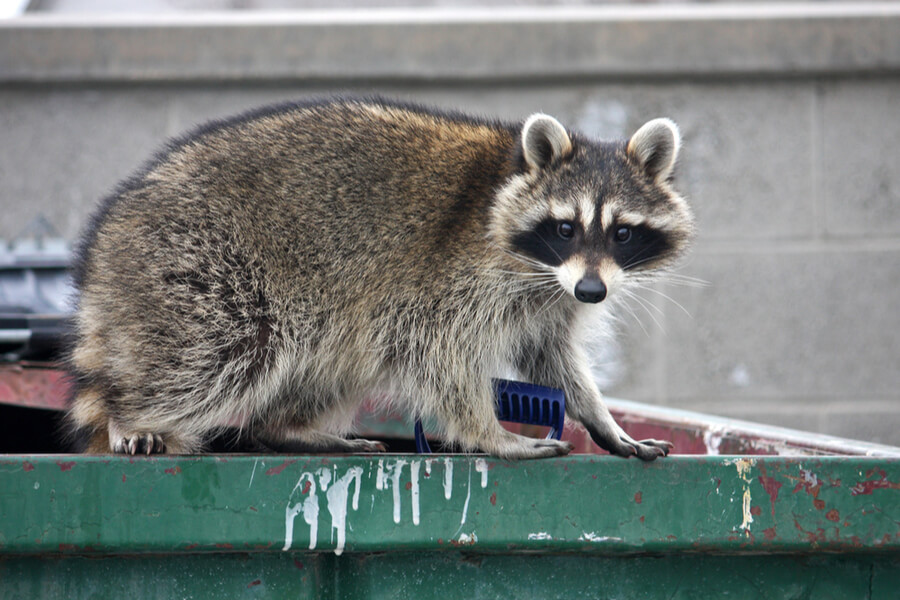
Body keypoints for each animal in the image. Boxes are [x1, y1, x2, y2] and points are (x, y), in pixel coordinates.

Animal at [67, 97, 692, 460]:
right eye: (565, 227)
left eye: (623, 233)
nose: (593, 292)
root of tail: (110, 234)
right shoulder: (454, 279)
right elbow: (440, 353)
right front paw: (486, 432)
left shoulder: (550, 299)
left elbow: (551, 358)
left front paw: (601, 419)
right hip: (198, 265)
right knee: (220, 350)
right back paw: (133, 413)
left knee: (332, 354)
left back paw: (288, 425)